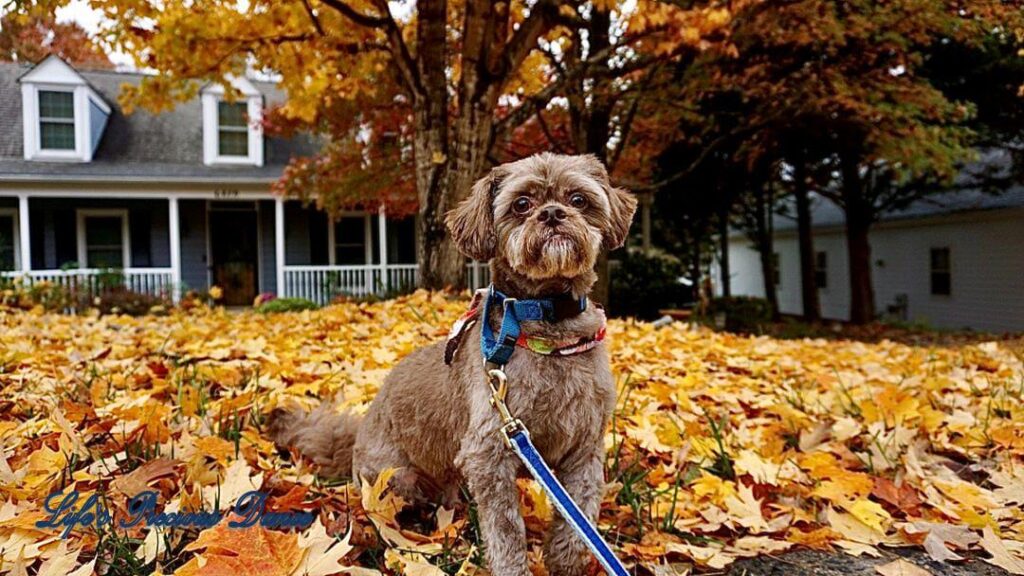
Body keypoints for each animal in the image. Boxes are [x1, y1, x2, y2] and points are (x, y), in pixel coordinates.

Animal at [270, 152, 638, 573]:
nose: (552, 214)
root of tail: (359, 434)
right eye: (521, 204)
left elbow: (579, 519)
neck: (548, 323)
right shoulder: (490, 451)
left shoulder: (584, 449)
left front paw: (565, 561)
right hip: (395, 479)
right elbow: (506, 531)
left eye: (578, 199)